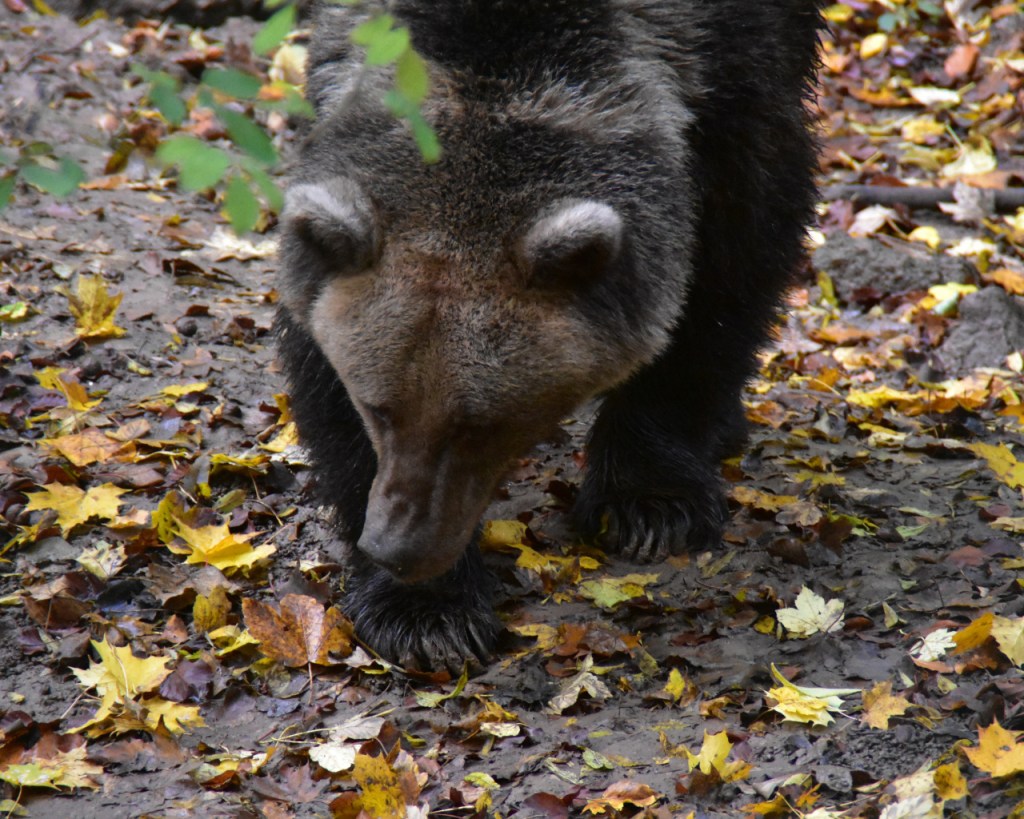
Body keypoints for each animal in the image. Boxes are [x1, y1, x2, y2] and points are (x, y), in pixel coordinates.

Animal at [277, 0, 824, 670]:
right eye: (377, 408)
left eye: (480, 424)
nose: (397, 547)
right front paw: (426, 612)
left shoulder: (740, 83)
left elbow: (730, 269)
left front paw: (649, 503)